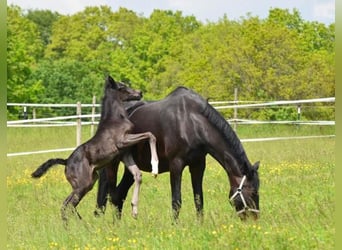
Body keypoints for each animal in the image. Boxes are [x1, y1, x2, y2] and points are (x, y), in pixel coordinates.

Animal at [32, 76, 159, 221]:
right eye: (122, 87)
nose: (140, 93)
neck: (116, 118)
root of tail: (66, 161)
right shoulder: (123, 141)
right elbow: (150, 135)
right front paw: (155, 167)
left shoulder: (124, 153)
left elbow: (138, 174)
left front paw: (134, 209)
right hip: (83, 184)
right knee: (68, 205)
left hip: (91, 181)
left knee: (67, 204)